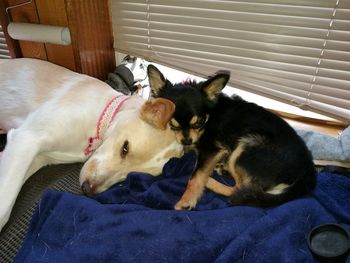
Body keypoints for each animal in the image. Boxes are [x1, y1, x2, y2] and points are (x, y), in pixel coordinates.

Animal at [0, 58, 182, 232]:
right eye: (125, 148)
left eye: (130, 175)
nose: (87, 190)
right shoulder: (26, 138)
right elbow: (5, 204)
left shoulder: (37, 156)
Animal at [146, 64, 316, 210]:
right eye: (172, 124)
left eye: (198, 123)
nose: (187, 141)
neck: (210, 116)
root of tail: (308, 169)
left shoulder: (212, 149)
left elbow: (196, 176)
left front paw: (187, 200)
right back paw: (222, 168)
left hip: (246, 145)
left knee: (239, 189)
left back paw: (211, 182)